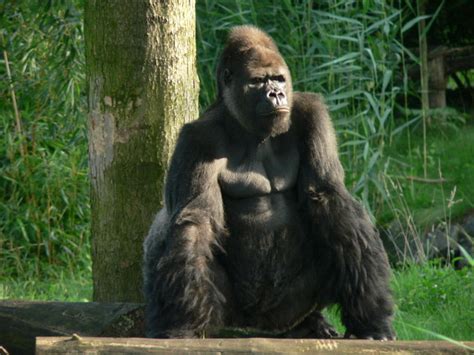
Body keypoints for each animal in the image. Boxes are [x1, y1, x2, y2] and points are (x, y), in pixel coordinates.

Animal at [143, 25, 394, 342]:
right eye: (258, 81)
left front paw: (372, 318)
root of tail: (261, 327)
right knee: (165, 226)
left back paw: (310, 322)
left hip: (290, 309)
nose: (276, 94)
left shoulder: (311, 114)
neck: (249, 129)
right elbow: (196, 220)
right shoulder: (197, 138)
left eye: (278, 79)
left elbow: (329, 198)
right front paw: (182, 323)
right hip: (235, 316)